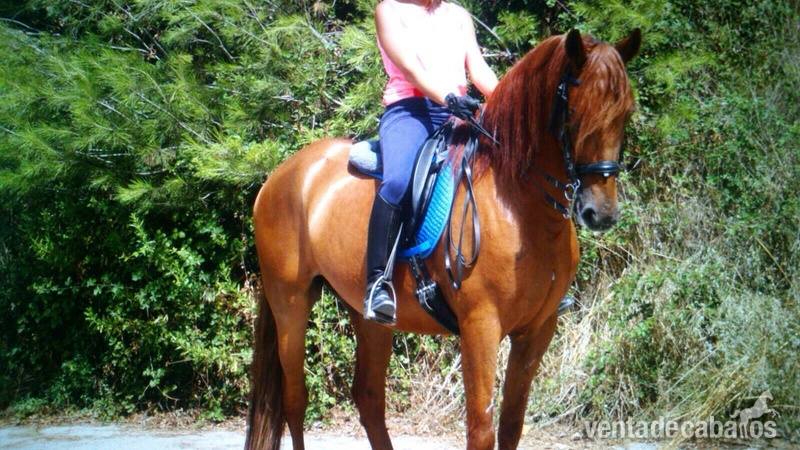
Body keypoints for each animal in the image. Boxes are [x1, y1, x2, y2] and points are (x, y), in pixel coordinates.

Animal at [246, 28, 642, 450]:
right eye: (572, 113)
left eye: (626, 113)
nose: (601, 213)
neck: (518, 203)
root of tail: (280, 175)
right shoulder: (480, 328)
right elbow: (481, 431)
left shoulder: (536, 332)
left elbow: (511, 426)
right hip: (290, 302)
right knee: (295, 401)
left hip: (367, 315)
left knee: (368, 398)